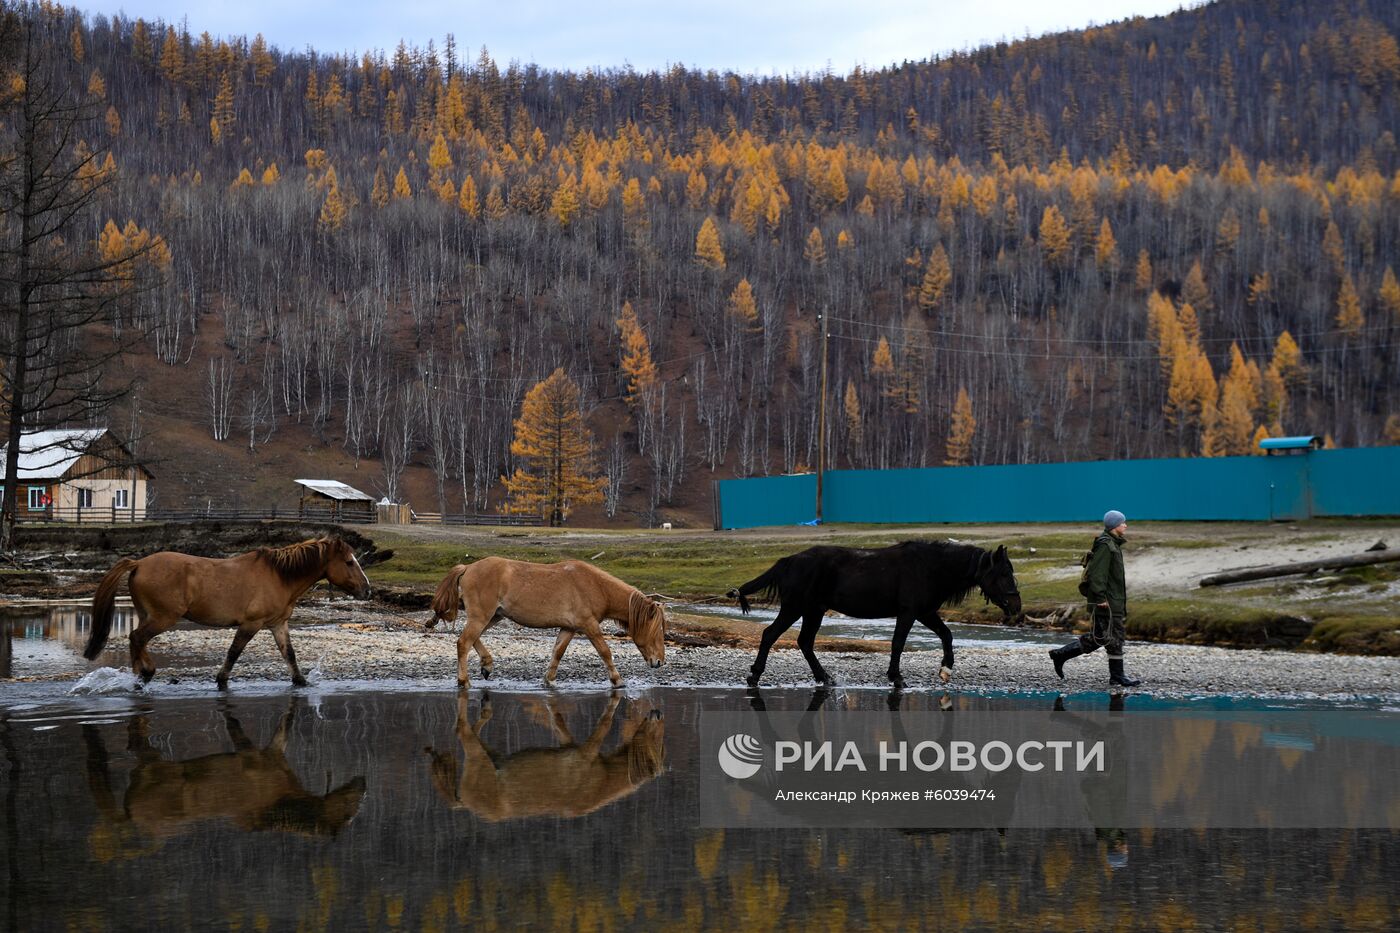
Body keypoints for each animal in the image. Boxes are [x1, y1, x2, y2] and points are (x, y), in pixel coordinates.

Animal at [82, 535, 372, 686]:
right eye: (349, 562)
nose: (367, 590)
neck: (279, 576)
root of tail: (139, 563)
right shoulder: (251, 624)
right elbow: (234, 653)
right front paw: (221, 679)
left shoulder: (278, 624)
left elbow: (289, 654)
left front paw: (300, 681)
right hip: (163, 618)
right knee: (137, 638)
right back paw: (145, 674)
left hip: (148, 615)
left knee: (137, 640)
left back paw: (140, 674)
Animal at [422, 686, 663, 818]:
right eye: (654, 740)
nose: (657, 715)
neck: (600, 781)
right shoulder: (586, 751)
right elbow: (604, 723)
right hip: (478, 757)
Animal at [425, 554, 666, 686]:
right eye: (657, 632)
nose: (659, 662)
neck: (596, 586)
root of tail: (467, 568)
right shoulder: (589, 626)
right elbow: (605, 651)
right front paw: (617, 680)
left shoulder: (569, 628)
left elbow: (557, 652)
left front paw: (548, 680)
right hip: (482, 616)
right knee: (464, 642)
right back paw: (464, 680)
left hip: (492, 616)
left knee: (472, 639)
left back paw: (487, 664)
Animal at [733, 540, 1019, 686]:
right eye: (1004, 573)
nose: (1016, 606)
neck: (930, 566)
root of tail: (788, 561)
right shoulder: (909, 612)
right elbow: (898, 643)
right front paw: (896, 676)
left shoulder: (926, 612)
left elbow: (947, 635)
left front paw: (945, 668)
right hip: (795, 608)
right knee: (770, 634)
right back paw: (754, 675)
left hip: (814, 610)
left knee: (805, 642)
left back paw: (823, 677)